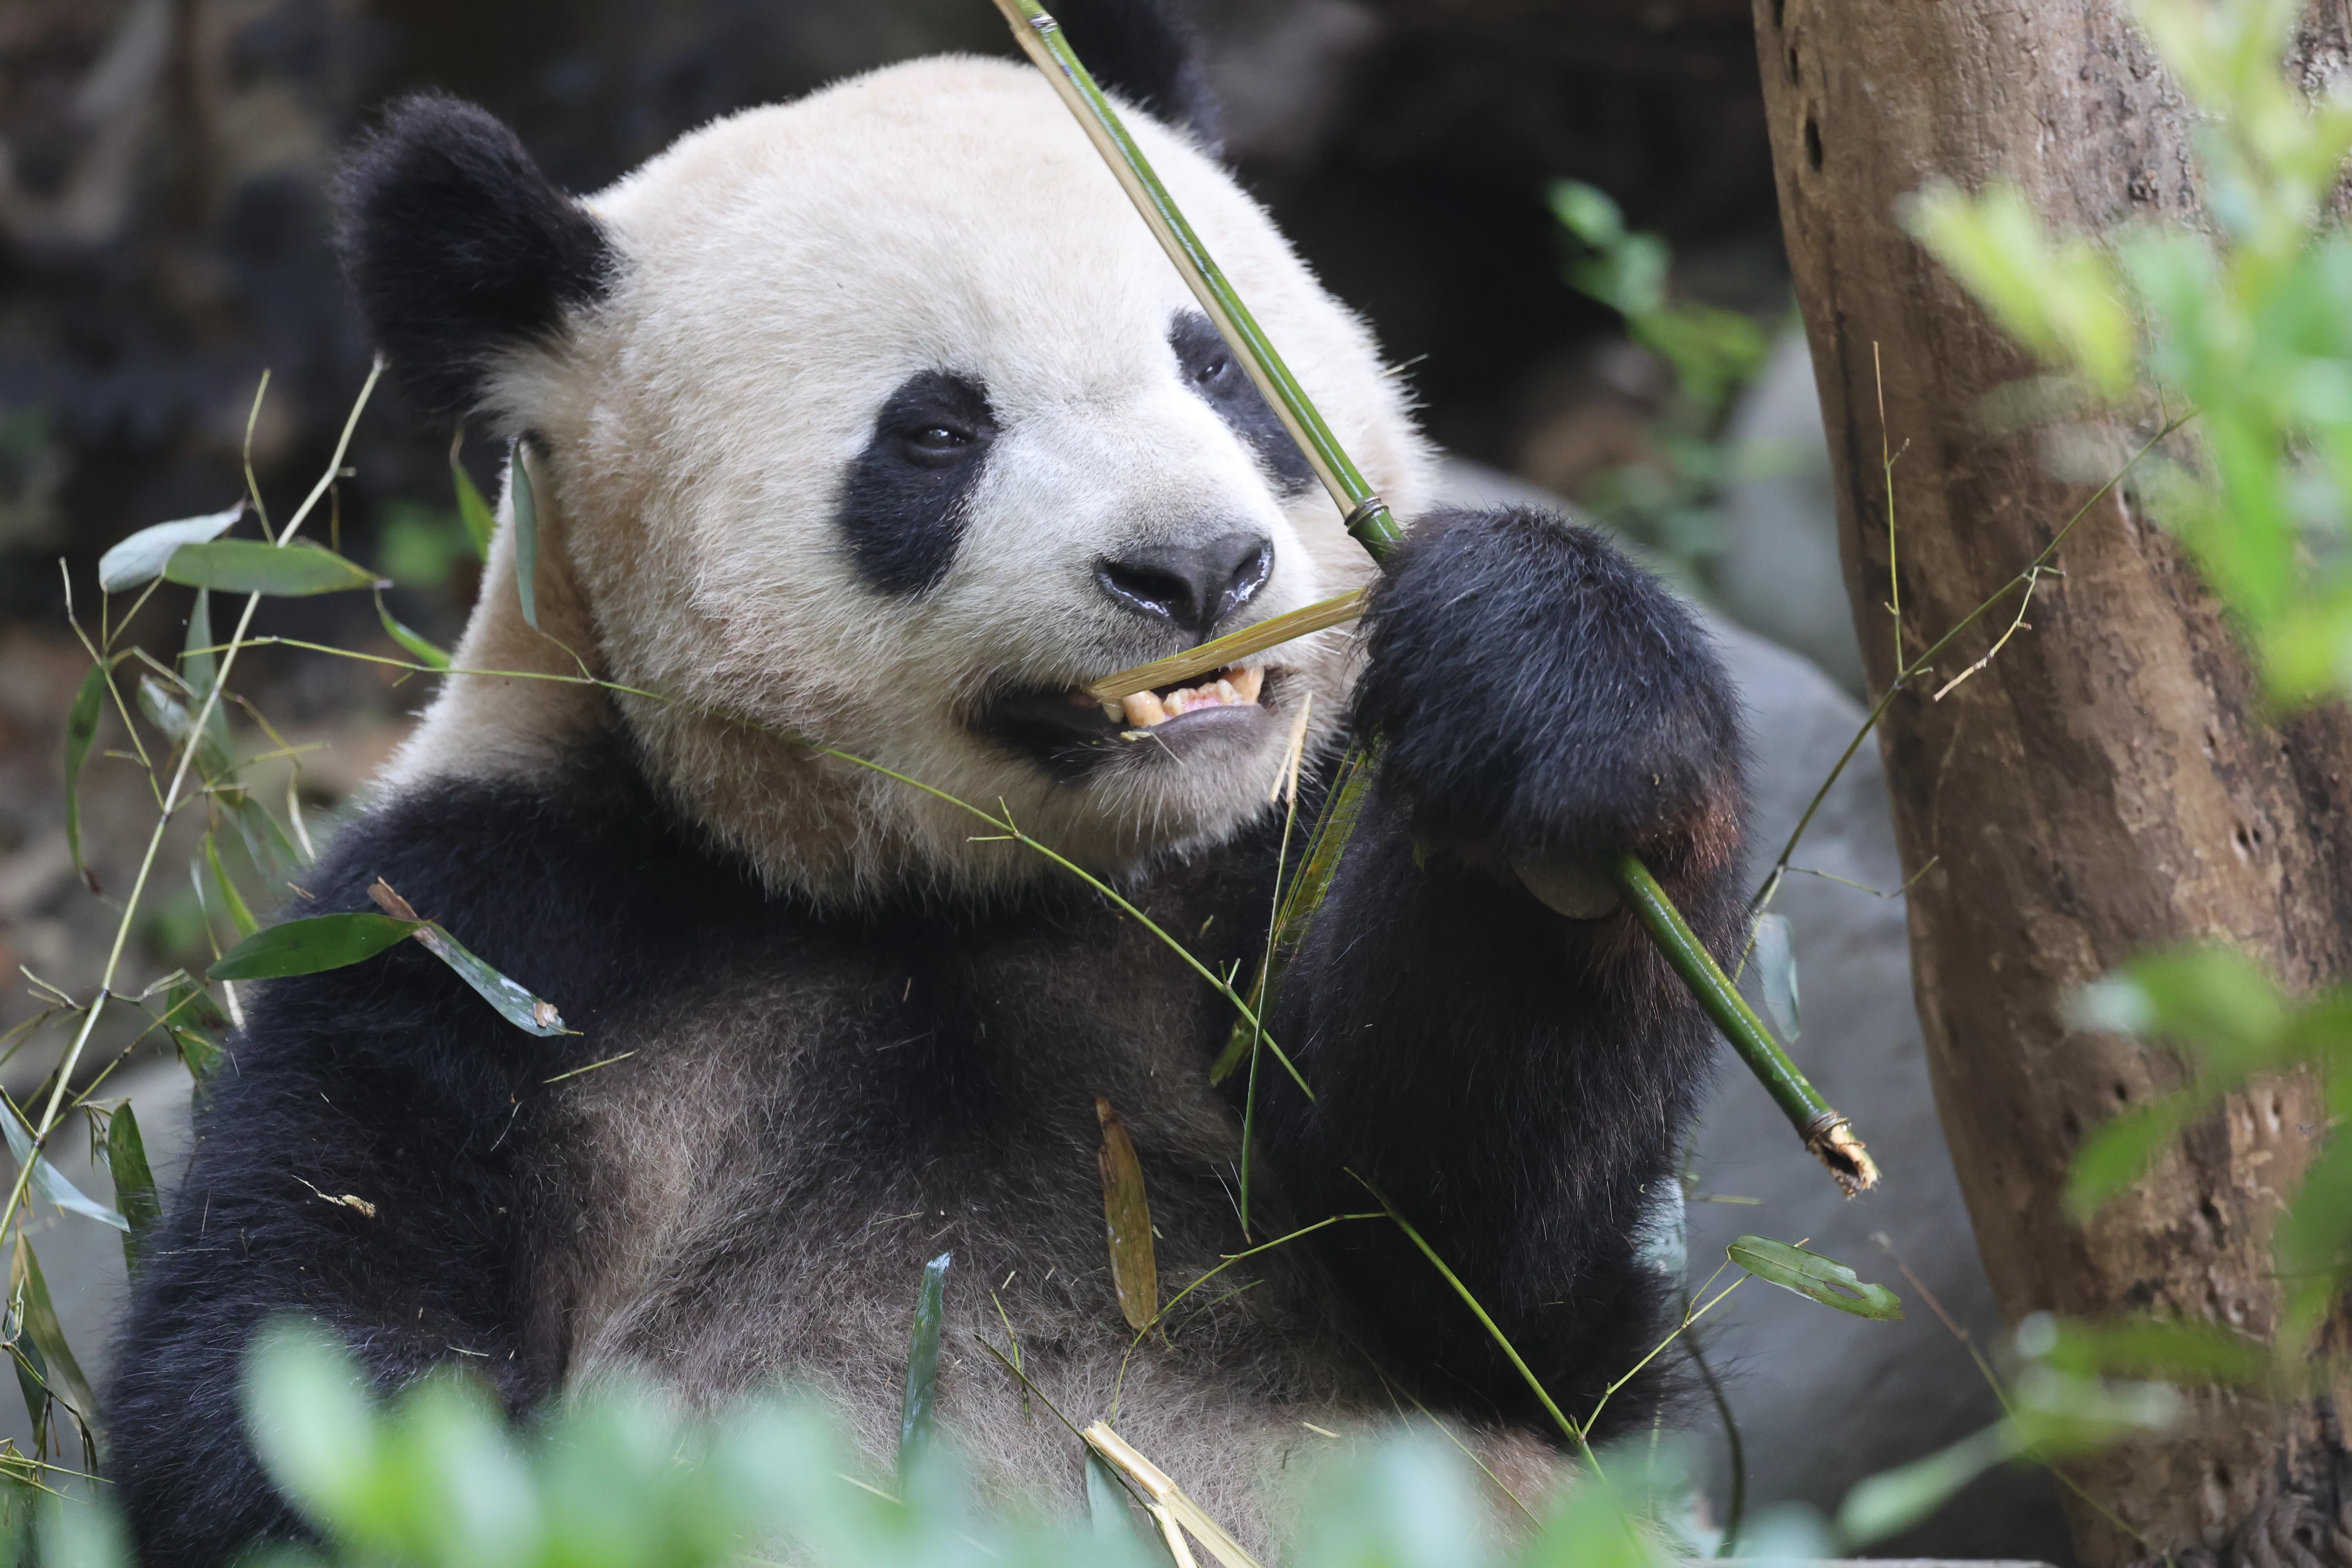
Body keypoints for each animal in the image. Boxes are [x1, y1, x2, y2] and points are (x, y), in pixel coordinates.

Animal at [107, 4, 1748, 1561]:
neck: (957, 897)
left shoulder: (1272, 860)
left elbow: (1496, 1283)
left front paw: (1545, 719)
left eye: (1215, 364)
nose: (1197, 570)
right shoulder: (494, 936)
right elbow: (284, 1361)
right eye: (939, 432)